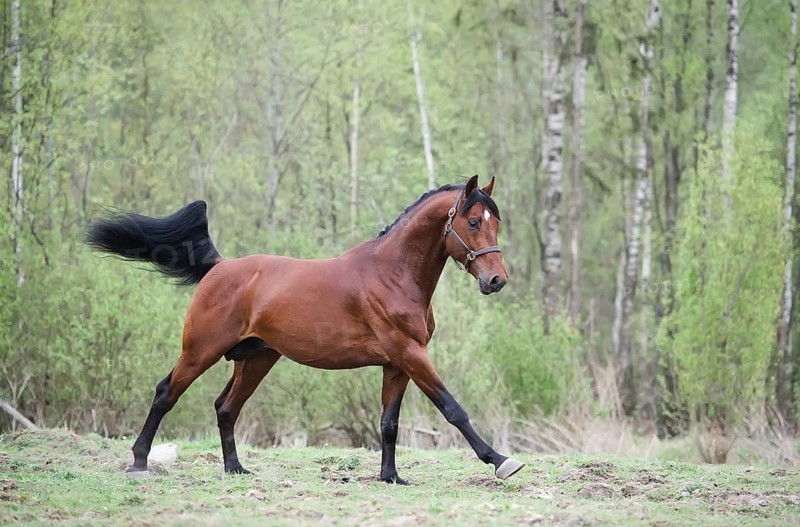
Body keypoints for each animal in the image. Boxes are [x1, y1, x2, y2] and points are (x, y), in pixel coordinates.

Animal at [86, 175, 524, 484]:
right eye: (472, 222)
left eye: (497, 223)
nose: (496, 280)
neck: (392, 274)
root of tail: (220, 267)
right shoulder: (411, 355)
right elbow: (453, 409)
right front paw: (501, 461)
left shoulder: (398, 363)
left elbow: (389, 422)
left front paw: (390, 477)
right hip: (200, 352)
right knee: (166, 394)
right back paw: (139, 462)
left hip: (256, 359)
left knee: (226, 407)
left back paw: (235, 469)